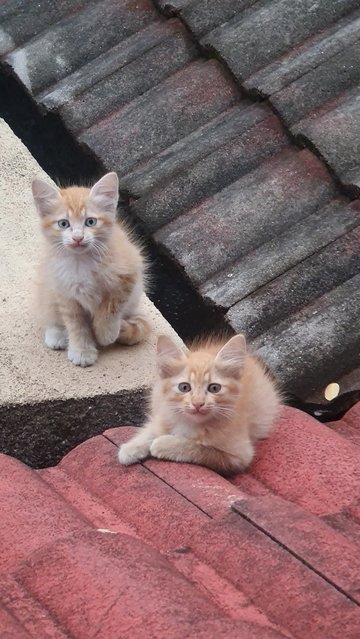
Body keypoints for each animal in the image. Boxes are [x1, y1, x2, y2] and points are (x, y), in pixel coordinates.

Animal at [31, 172, 149, 368]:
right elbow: (76, 324)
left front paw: (105, 333)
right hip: (47, 288)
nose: (78, 238)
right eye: (63, 224)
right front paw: (82, 350)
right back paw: (56, 334)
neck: (81, 262)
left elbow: (110, 309)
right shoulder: (64, 292)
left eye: (90, 222)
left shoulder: (129, 274)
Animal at [119, 336, 280, 476]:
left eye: (214, 388)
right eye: (184, 387)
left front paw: (164, 444)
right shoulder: (164, 414)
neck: (191, 423)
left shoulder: (238, 456)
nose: (197, 403)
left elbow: (199, 448)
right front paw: (131, 448)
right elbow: (150, 430)